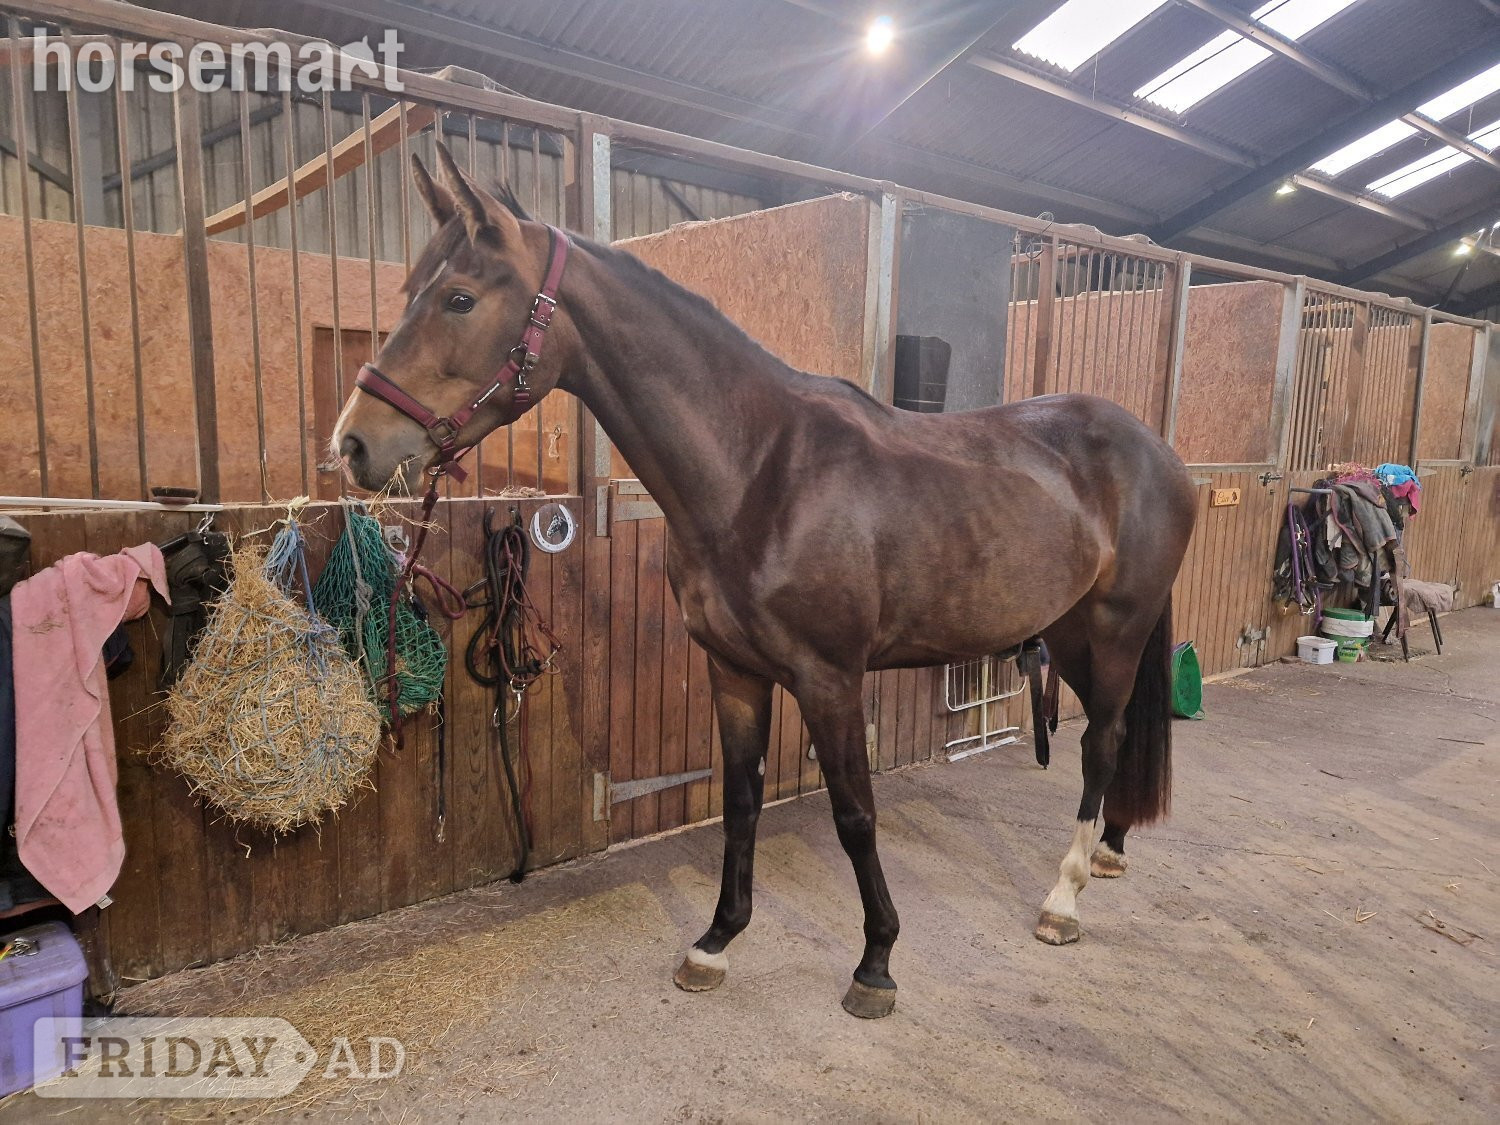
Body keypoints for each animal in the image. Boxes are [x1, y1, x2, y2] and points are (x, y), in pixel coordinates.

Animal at [332, 144, 1198, 1020]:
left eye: (459, 298)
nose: (354, 444)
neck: (760, 471)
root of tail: (1156, 449)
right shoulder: (734, 670)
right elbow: (740, 800)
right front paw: (715, 941)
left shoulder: (829, 677)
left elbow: (854, 811)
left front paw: (876, 961)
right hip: (1068, 631)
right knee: (1109, 739)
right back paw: (1110, 849)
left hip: (1114, 630)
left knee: (1101, 742)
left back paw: (1065, 896)